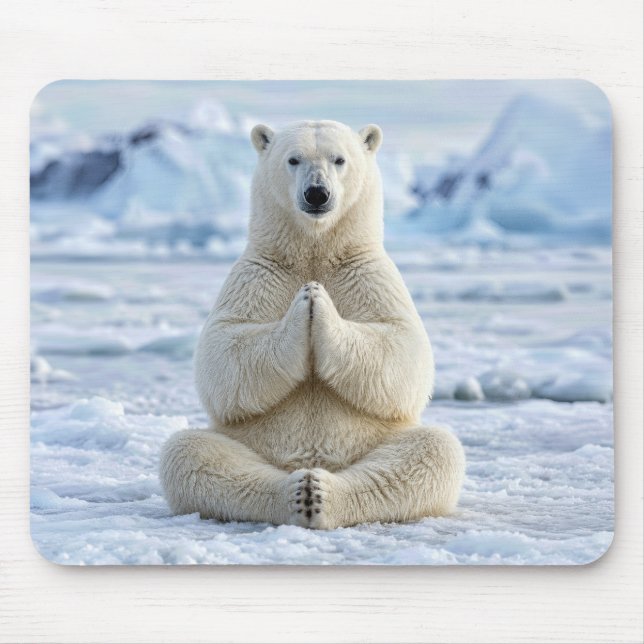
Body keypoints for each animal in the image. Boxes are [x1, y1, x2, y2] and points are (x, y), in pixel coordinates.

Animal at [159, 120, 465, 529]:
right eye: (294, 159)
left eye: (339, 159)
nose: (317, 193)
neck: (314, 249)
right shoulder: (258, 274)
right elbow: (223, 354)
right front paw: (304, 302)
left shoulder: (369, 274)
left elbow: (402, 352)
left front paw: (320, 304)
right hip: (251, 441)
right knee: (189, 452)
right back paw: (296, 493)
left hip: (377, 439)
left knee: (433, 452)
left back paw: (319, 494)